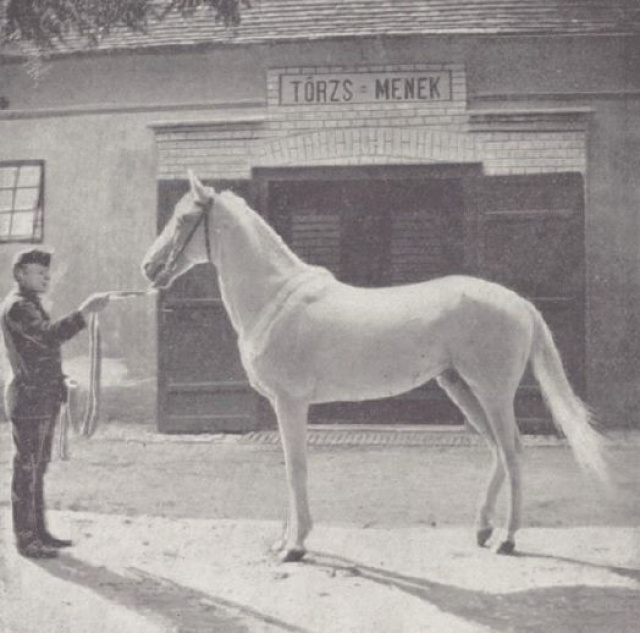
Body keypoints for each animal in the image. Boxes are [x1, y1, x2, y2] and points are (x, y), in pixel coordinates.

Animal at [141, 170, 608, 560]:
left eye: (184, 219)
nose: (148, 268)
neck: (276, 298)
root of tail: (520, 303)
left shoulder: (291, 403)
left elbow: (296, 469)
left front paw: (295, 546)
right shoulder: (282, 405)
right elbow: (291, 467)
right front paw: (284, 540)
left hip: (492, 392)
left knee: (511, 450)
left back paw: (507, 539)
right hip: (460, 387)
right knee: (497, 449)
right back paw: (481, 530)